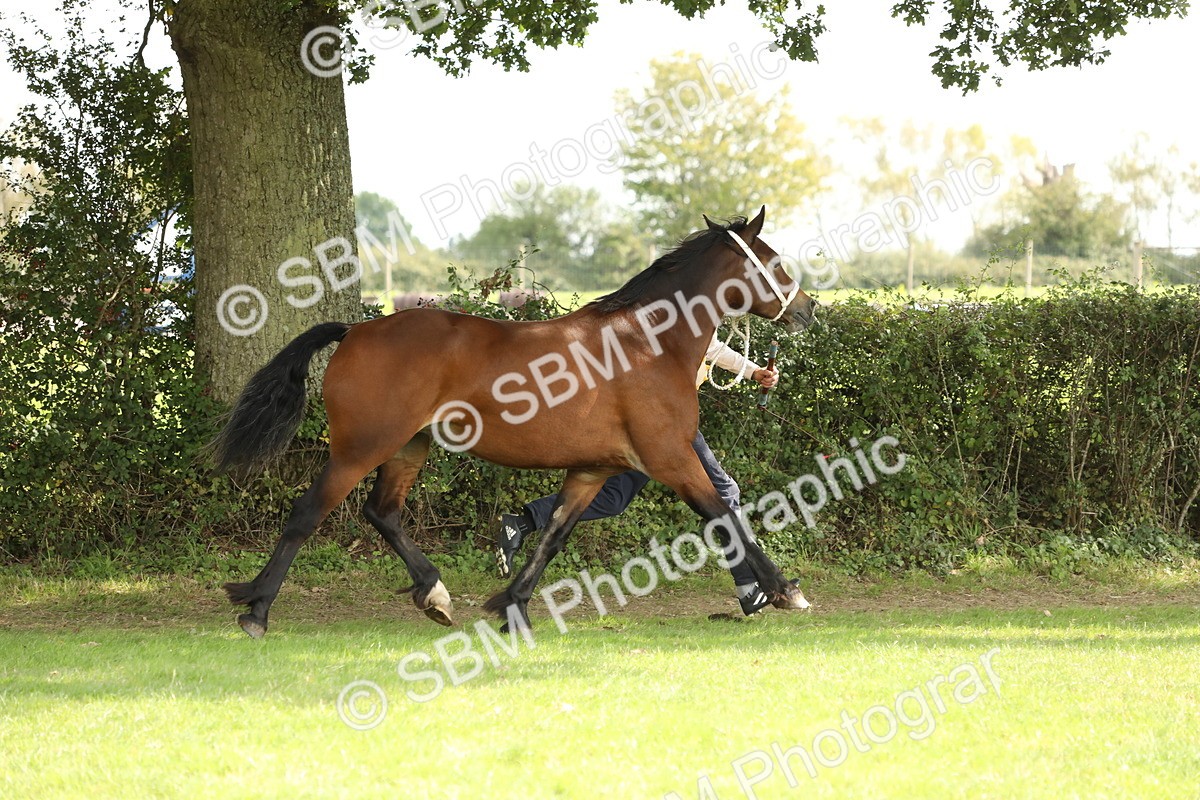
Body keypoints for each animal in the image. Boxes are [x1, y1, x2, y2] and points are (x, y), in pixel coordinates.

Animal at [214, 206, 817, 638]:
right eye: (773, 261)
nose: (807, 308)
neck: (648, 342)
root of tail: (356, 331)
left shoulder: (592, 471)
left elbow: (553, 536)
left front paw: (514, 606)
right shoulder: (671, 458)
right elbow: (725, 516)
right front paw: (784, 590)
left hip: (409, 447)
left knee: (382, 513)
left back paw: (434, 594)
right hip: (361, 448)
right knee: (307, 514)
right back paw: (257, 610)